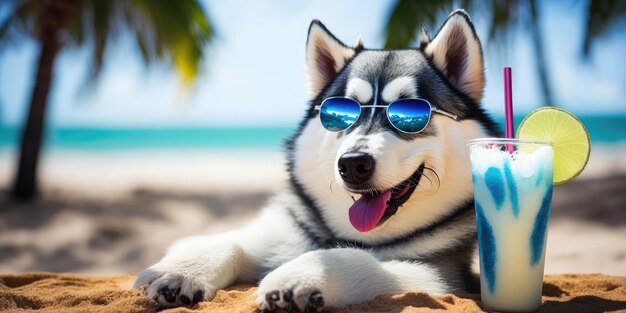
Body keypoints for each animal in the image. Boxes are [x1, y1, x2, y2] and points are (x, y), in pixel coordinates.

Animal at [133, 9, 498, 310]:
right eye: (341, 114)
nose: (353, 164)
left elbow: (358, 259)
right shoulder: (281, 233)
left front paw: (300, 276)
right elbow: (227, 240)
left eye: (410, 116)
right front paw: (179, 270)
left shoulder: (438, 275)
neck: (354, 235)